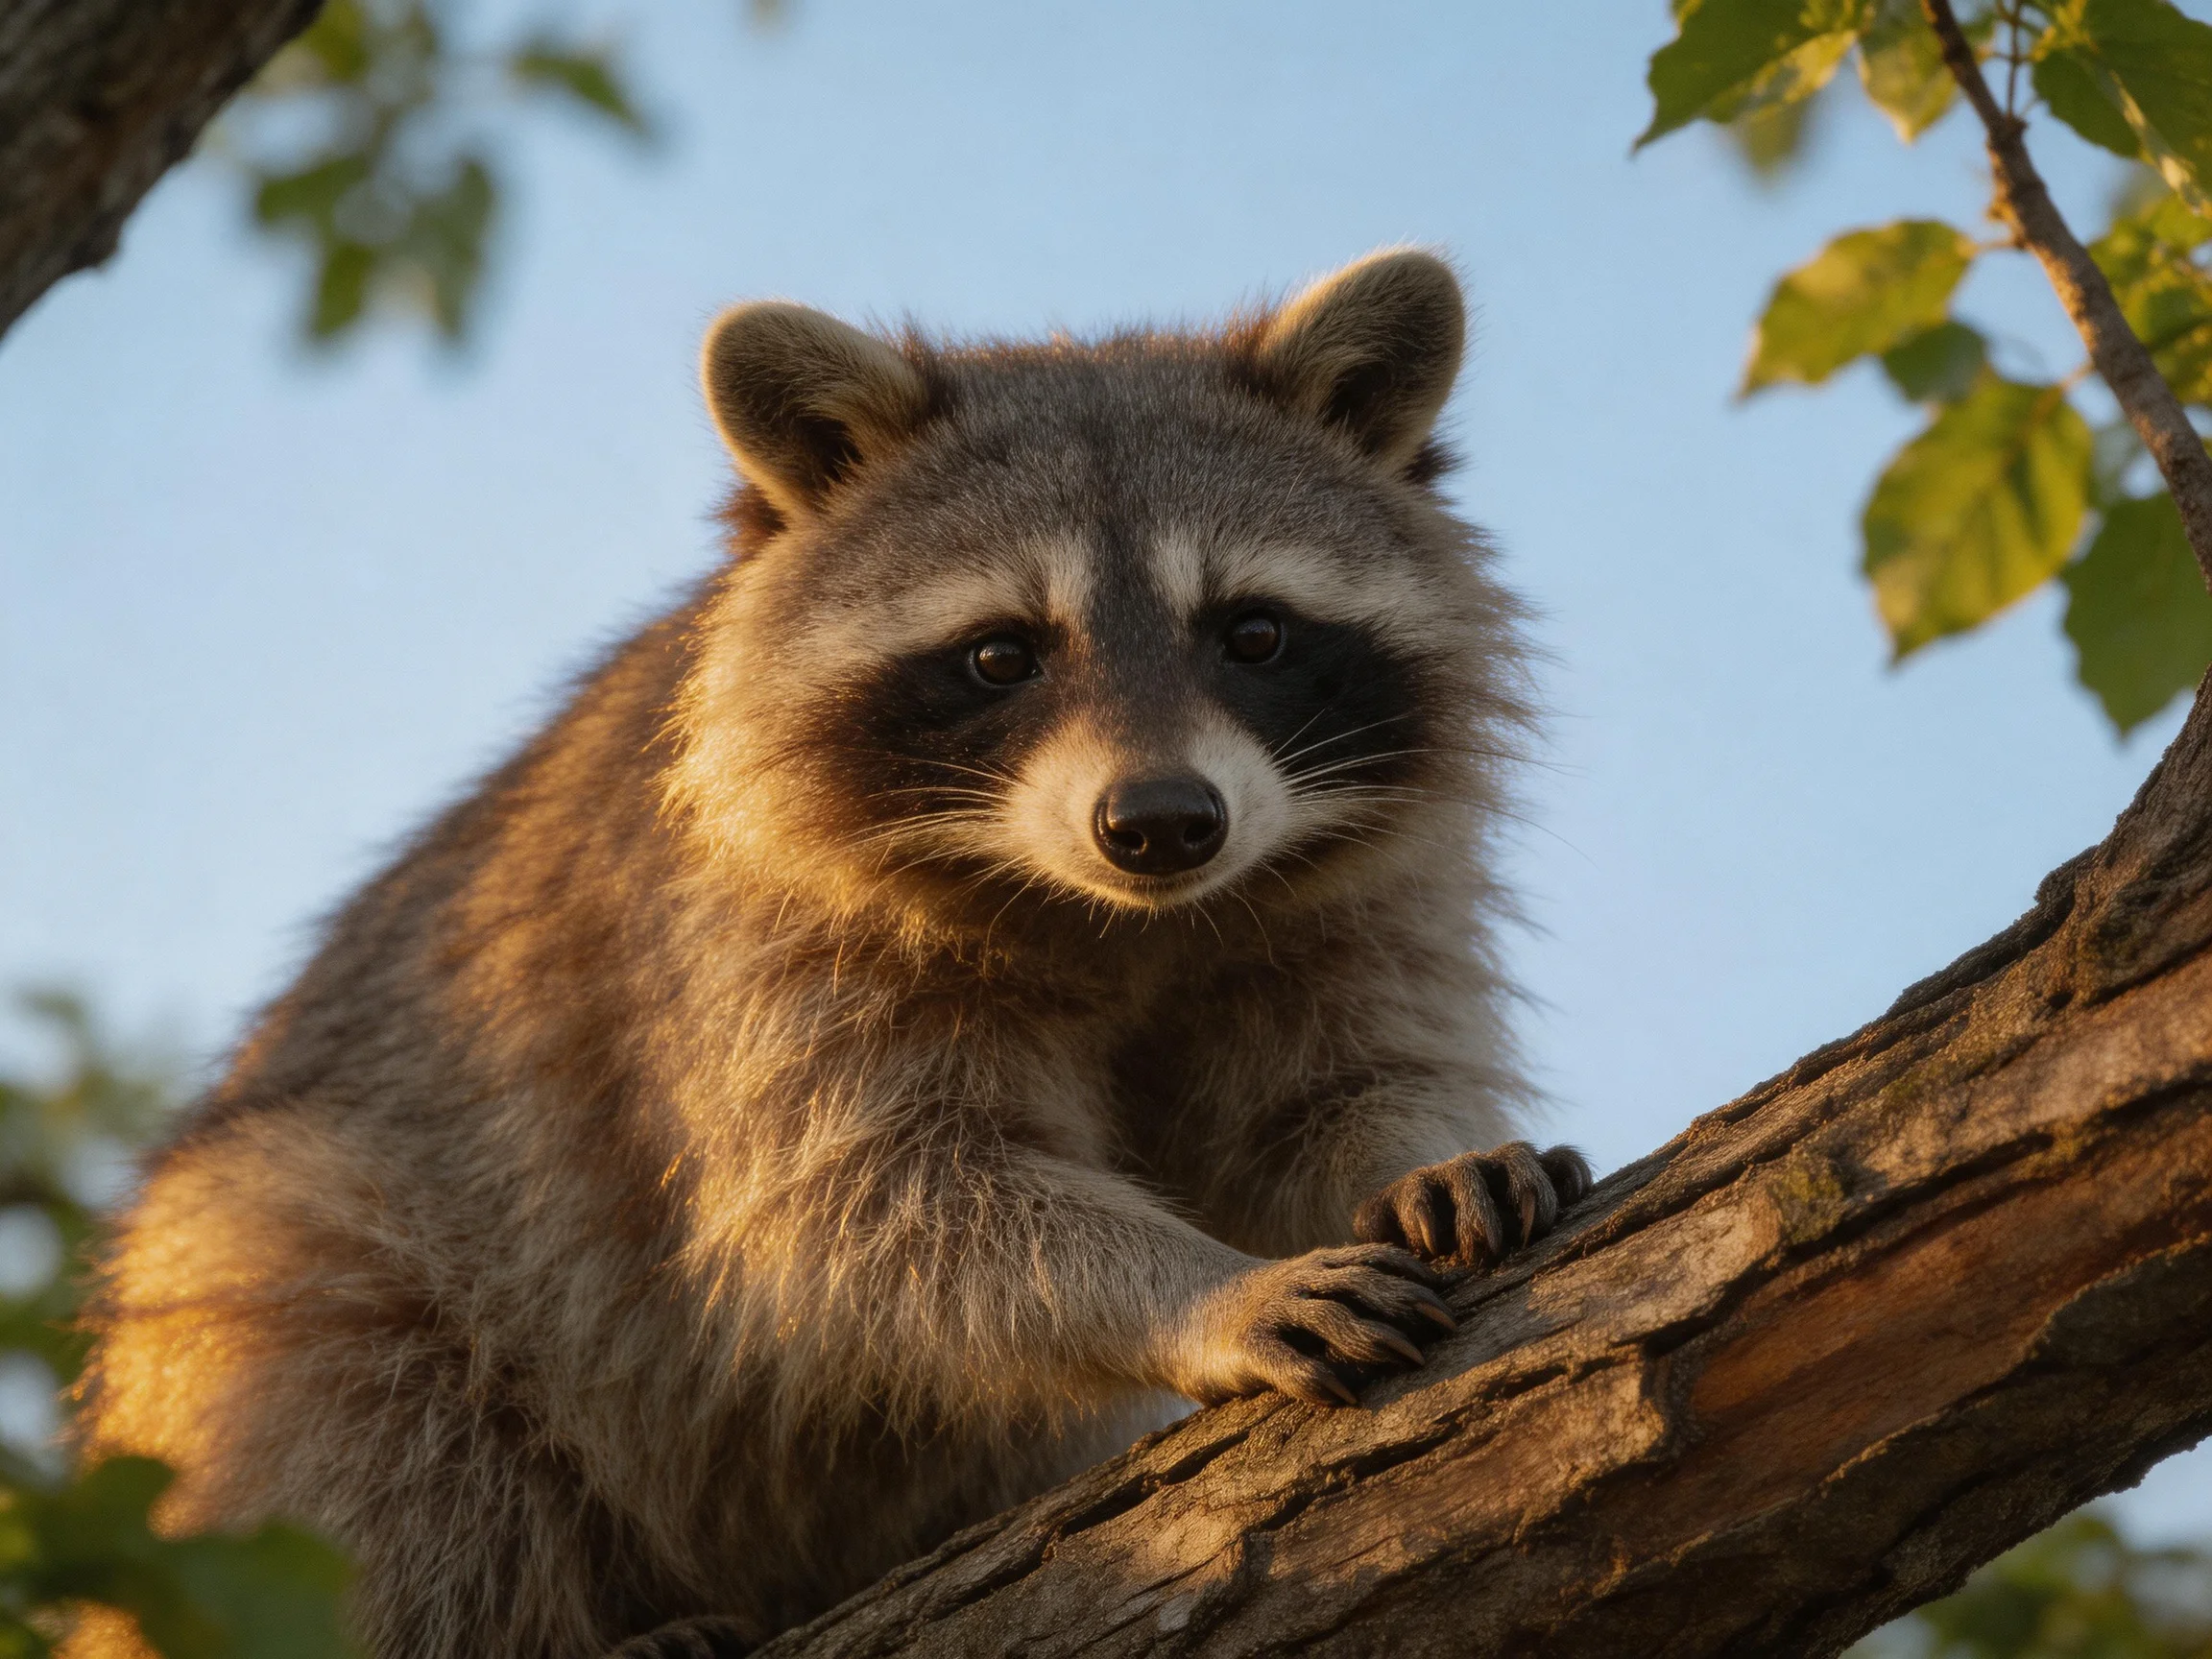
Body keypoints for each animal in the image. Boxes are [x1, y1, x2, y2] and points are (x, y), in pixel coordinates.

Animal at [75, 249, 1589, 1659]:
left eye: (1255, 632)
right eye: (1001, 656)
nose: (1162, 824)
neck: (1122, 921)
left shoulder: (1347, 901)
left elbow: (1332, 1086)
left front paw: (1423, 1152)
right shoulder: (748, 959)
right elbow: (872, 1213)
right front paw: (1198, 1290)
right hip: (267, 1317)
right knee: (344, 1395)